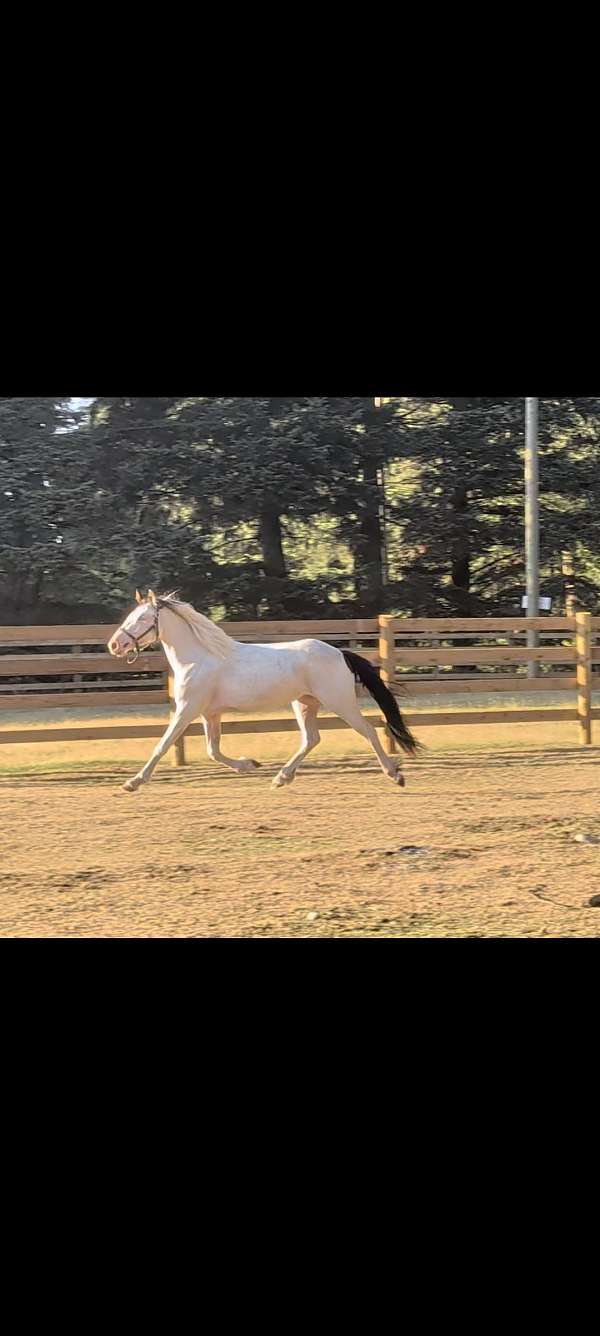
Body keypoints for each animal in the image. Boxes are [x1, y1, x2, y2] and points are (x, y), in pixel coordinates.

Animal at [107, 590, 421, 794]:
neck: (198, 658)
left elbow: (163, 744)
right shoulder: (210, 714)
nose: (114, 645)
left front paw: (133, 782)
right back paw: (281, 778)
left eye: (141, 618)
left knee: (368, 731)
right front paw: (249, 764)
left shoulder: (187, 710)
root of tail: (339, 653)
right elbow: (213, 750)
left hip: (340, 702)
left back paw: (395, 774)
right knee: (311, 739)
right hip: (304, 703)